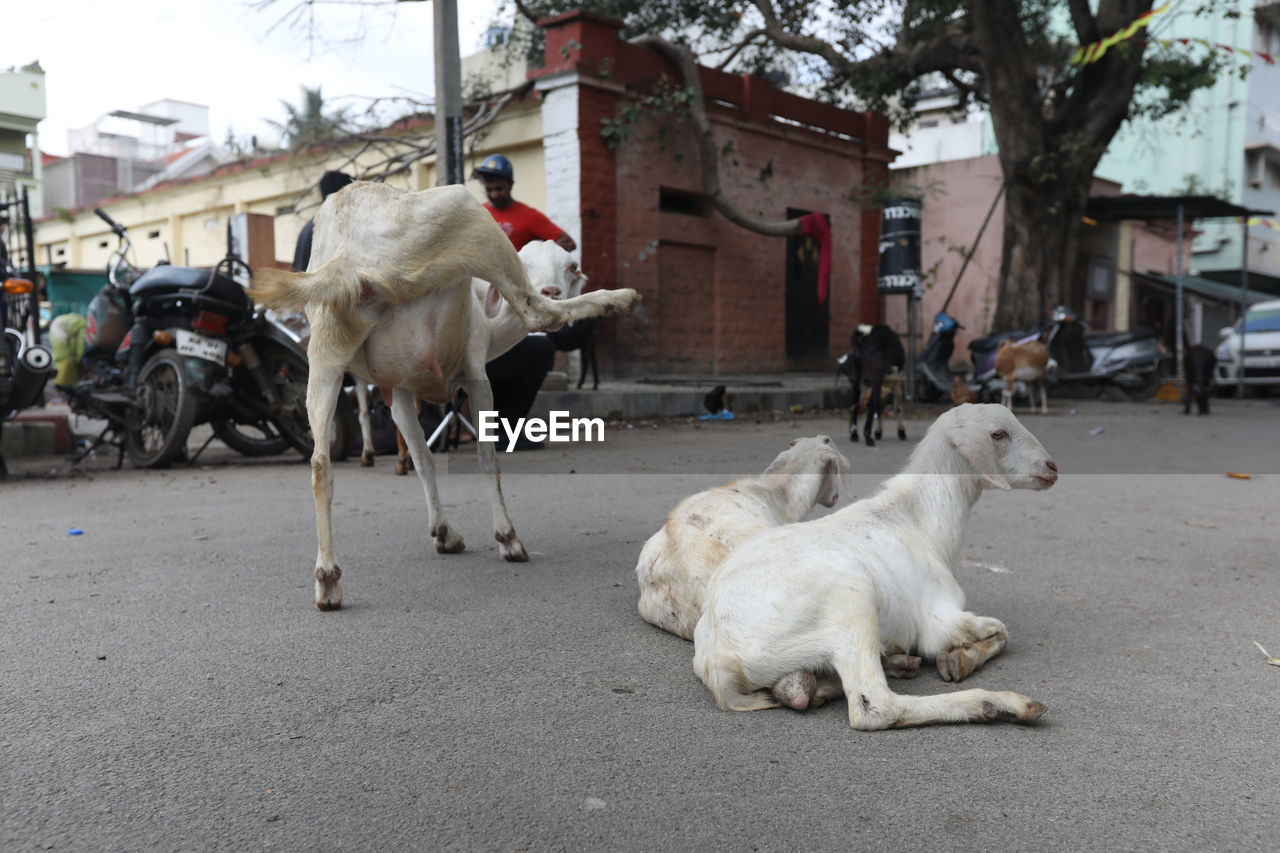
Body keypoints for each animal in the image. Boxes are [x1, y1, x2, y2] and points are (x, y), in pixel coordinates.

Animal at [252, 179, 640, 607]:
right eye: (530, 262)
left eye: (571, 267)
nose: (553, 288)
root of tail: (349, 252)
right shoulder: (475, 373)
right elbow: (487, 458)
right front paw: (507, 538)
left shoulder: (400, 390)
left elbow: (423, 460)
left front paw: (444, 533)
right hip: (469, 218)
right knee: (538, 313)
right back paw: (618, 297)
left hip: (325, 348)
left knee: (321, 465)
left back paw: (327, 580)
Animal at [696, 402, 1054, 727]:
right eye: (998, 434)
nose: (1051, 467)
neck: (918, 520)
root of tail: (721, 662)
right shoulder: (940, 618)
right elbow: (1001, 631)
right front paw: (958, 660)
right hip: (851, 602)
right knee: (875, 707)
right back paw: (1004, 704)